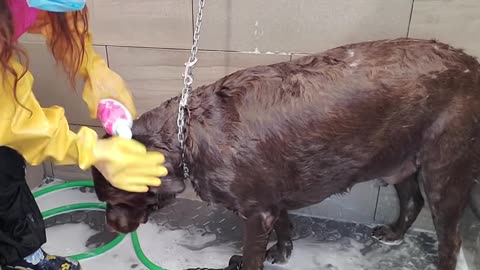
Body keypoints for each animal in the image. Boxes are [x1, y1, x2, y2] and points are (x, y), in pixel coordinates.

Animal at [93, 38, 480, 270]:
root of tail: (470, 62)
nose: (110, 226)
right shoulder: (271, 199)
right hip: (402, 159)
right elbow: (283, 224)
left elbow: (253, 255)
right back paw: (393, 233)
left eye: (113, 198)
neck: (188, 134)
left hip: (444, 168)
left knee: (451, 236)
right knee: (412, 200)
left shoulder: (255, 212)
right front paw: (281, 251)